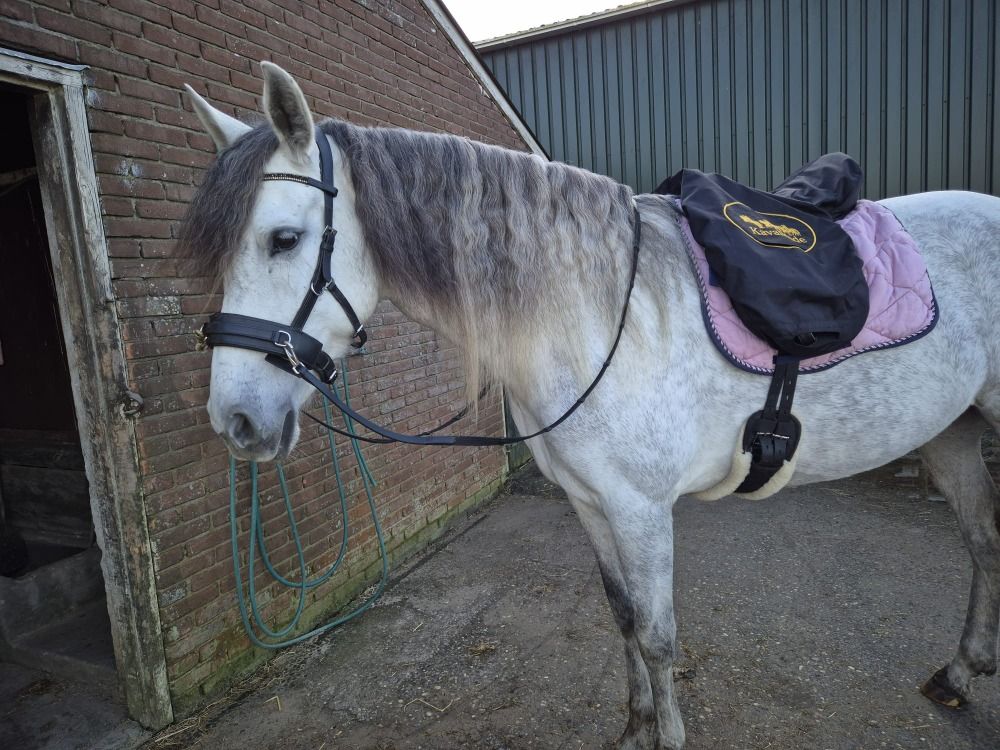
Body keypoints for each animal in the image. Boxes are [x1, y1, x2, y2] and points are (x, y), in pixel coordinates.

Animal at [180, 62, 1000, 750]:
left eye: (284, 239)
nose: (235, 421)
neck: (595, 313)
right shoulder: (589, 501)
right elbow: (625, 618)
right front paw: (635, 729)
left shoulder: (642, 508)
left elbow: (661, 636)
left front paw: (666, 737)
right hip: (952, 431)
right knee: (984, 541)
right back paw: (958, 674)